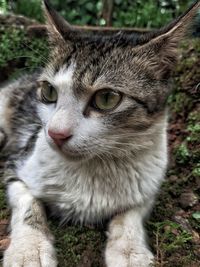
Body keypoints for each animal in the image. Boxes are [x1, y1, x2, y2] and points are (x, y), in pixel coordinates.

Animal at [0, 0, 199, 266]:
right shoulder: (17, 164)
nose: (56, 133)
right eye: (49, 92)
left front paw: (129, 249)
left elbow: (132, 211)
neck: (95, 167)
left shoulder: (150, 184)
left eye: (106, 98)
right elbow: (27, 203)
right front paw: (29, 249)